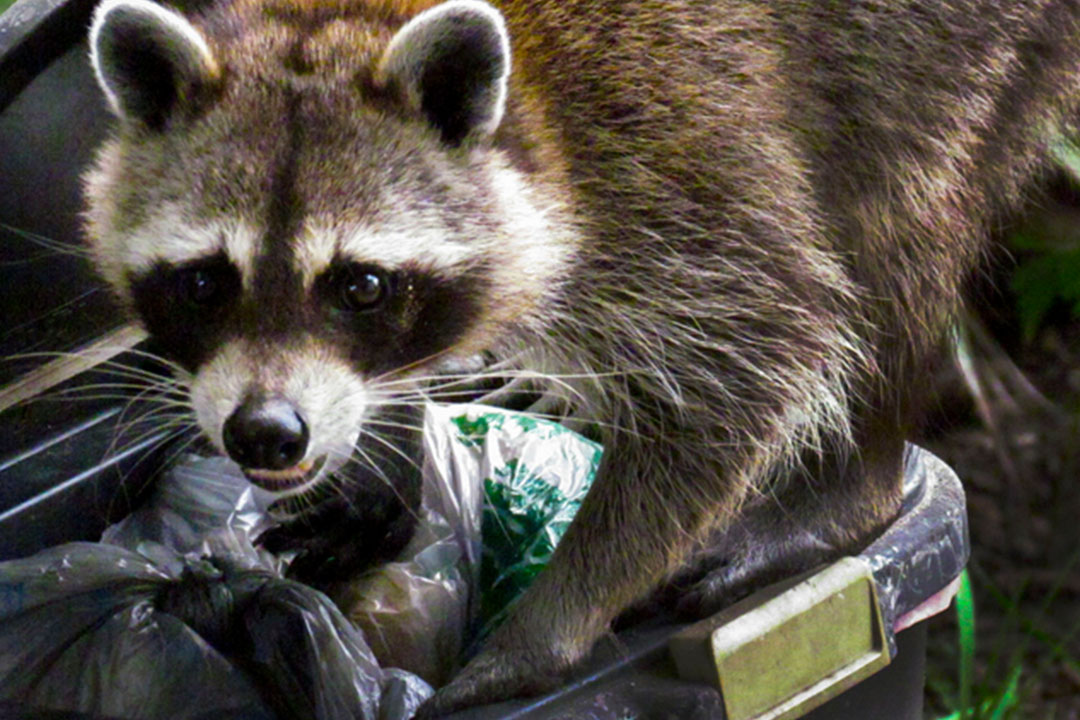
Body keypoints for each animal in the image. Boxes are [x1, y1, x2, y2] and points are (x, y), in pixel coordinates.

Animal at [82, 0, 1080, 712]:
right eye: (205, 283)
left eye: (360, 286)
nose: (265, 433)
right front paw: (389, 460)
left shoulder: (677, 174)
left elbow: (761, 354)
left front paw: (549, 626)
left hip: (952, 51)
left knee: (895, 232)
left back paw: (850, 487)